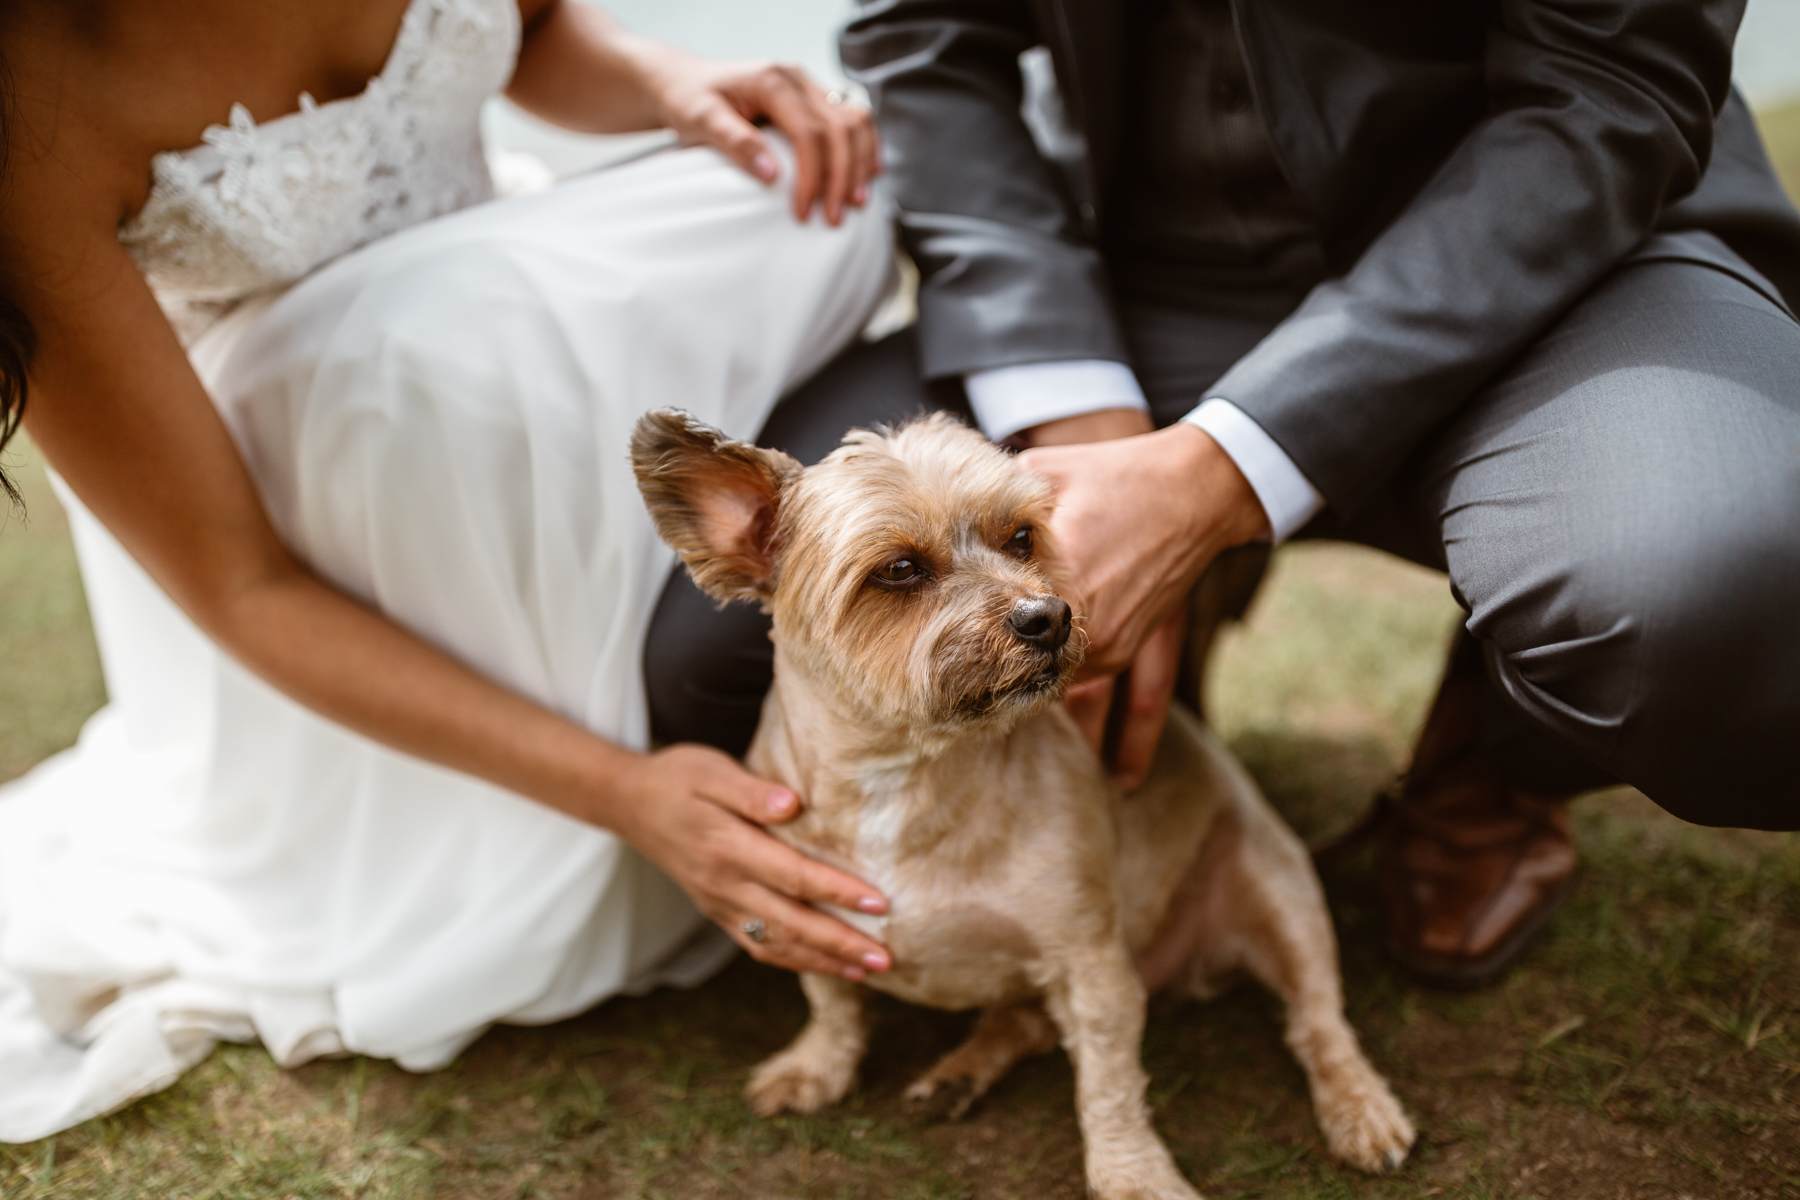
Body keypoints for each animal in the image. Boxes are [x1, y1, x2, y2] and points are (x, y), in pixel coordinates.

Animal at [633, 413, 1418, 1200]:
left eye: (1021, 538)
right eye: (899, 569)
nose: (1049, 615)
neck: (904, 771)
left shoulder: (1091, 965)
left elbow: (1108, 1083)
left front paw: (1133, 1174)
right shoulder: (800, 918)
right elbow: (831, 1004)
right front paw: (815, 1068)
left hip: (1282, 897)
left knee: (1318, 1022)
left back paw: (1361, 1110)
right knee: (1021, 1023)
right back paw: (961, 1072)